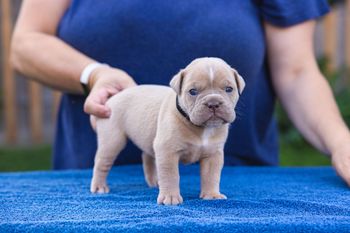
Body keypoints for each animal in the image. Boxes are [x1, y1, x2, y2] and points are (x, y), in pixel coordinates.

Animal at [90, 57, 245, 205]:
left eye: (229, 89)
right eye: (193, 92)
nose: (213, 102)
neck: (202, 127)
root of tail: (112, 99)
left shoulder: (213, 154)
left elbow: (211, 175)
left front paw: (211, 195)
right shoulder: (167, 151)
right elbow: (170, 175)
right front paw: (170, 197)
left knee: (148, 156)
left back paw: (154, 181)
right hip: (112, 140)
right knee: (102, 162)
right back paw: (99, 187)